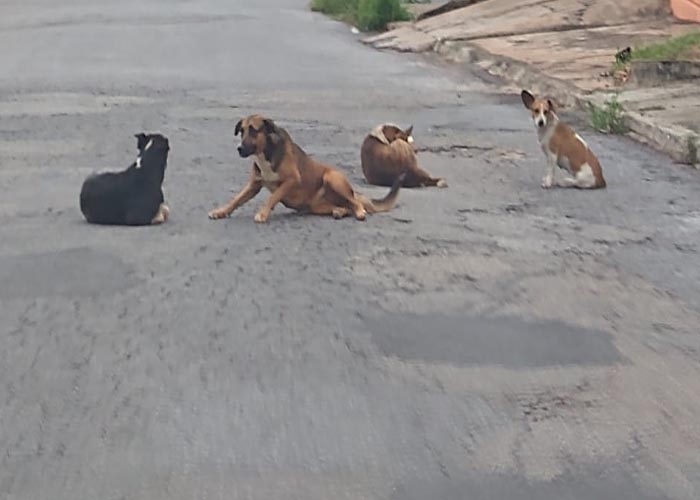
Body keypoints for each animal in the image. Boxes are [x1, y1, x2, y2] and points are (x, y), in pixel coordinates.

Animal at [208, 116, 404, 224]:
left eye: (254, 131)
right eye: (241, 131)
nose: (240, 149)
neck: (266, 154)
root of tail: (354, 191)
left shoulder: (292, 180)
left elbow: (273, 196)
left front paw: (263, 213)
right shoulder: (253, 185)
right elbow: (236, 200)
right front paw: (221, 211)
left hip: (332, 178)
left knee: (356, 204)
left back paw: (359, 212)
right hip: (318, 206)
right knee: (346, 206)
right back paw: (339, 211)